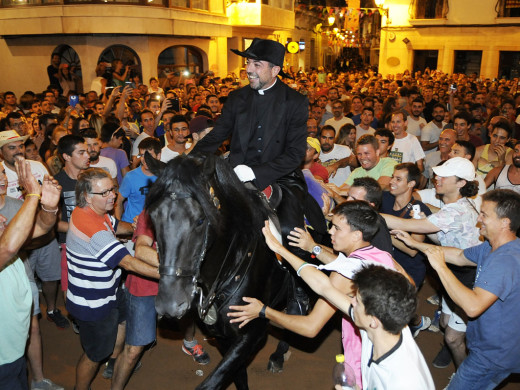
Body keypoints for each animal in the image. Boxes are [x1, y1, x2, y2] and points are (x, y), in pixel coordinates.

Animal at [146, 152, 290, 390]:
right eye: (153, 217)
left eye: (200, 220)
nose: (170, 304)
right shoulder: (223, 336)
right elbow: (237, 376)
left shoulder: (253, 333)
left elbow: (211, 383)